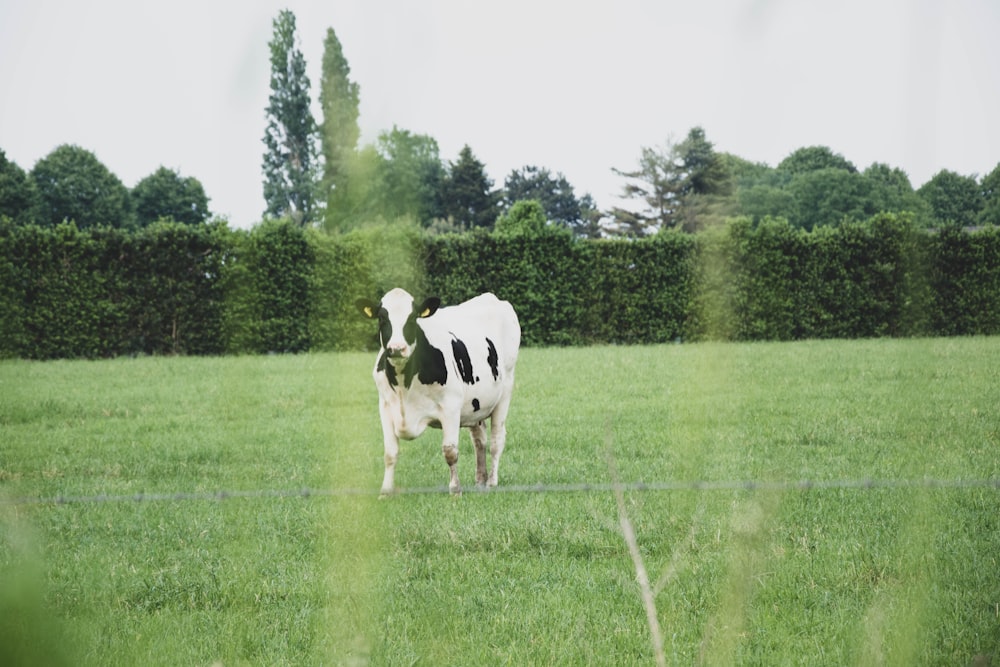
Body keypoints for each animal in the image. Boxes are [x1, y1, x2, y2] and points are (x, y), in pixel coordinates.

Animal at [354, 288, 524, 496]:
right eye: (381, 318)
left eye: (413, 318)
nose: (397, 348)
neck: (405, 385)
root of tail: (490, 297)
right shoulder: (385, 406)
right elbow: (390, 453)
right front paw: (385, 491)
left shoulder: (451, 406)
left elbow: (450, 452)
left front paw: (455, 490)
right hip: (475, 405)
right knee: (479, 441)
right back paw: (480, 481)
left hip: (505, 390)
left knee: (496, 441)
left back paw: (491, 482)